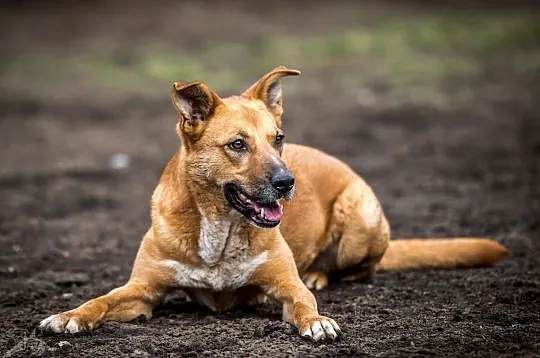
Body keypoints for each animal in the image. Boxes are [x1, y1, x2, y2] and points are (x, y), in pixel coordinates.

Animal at [40, 66, 508, 342]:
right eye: (237, 145)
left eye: (278, 139)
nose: (287, 183)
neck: (220, 231)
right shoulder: (142, 291)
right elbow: (101, 300)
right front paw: (69, 315)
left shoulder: (284, 286)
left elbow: (302, 302)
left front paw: (317, 319)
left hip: (359, 219)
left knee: (360, 269)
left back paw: (319, 274)